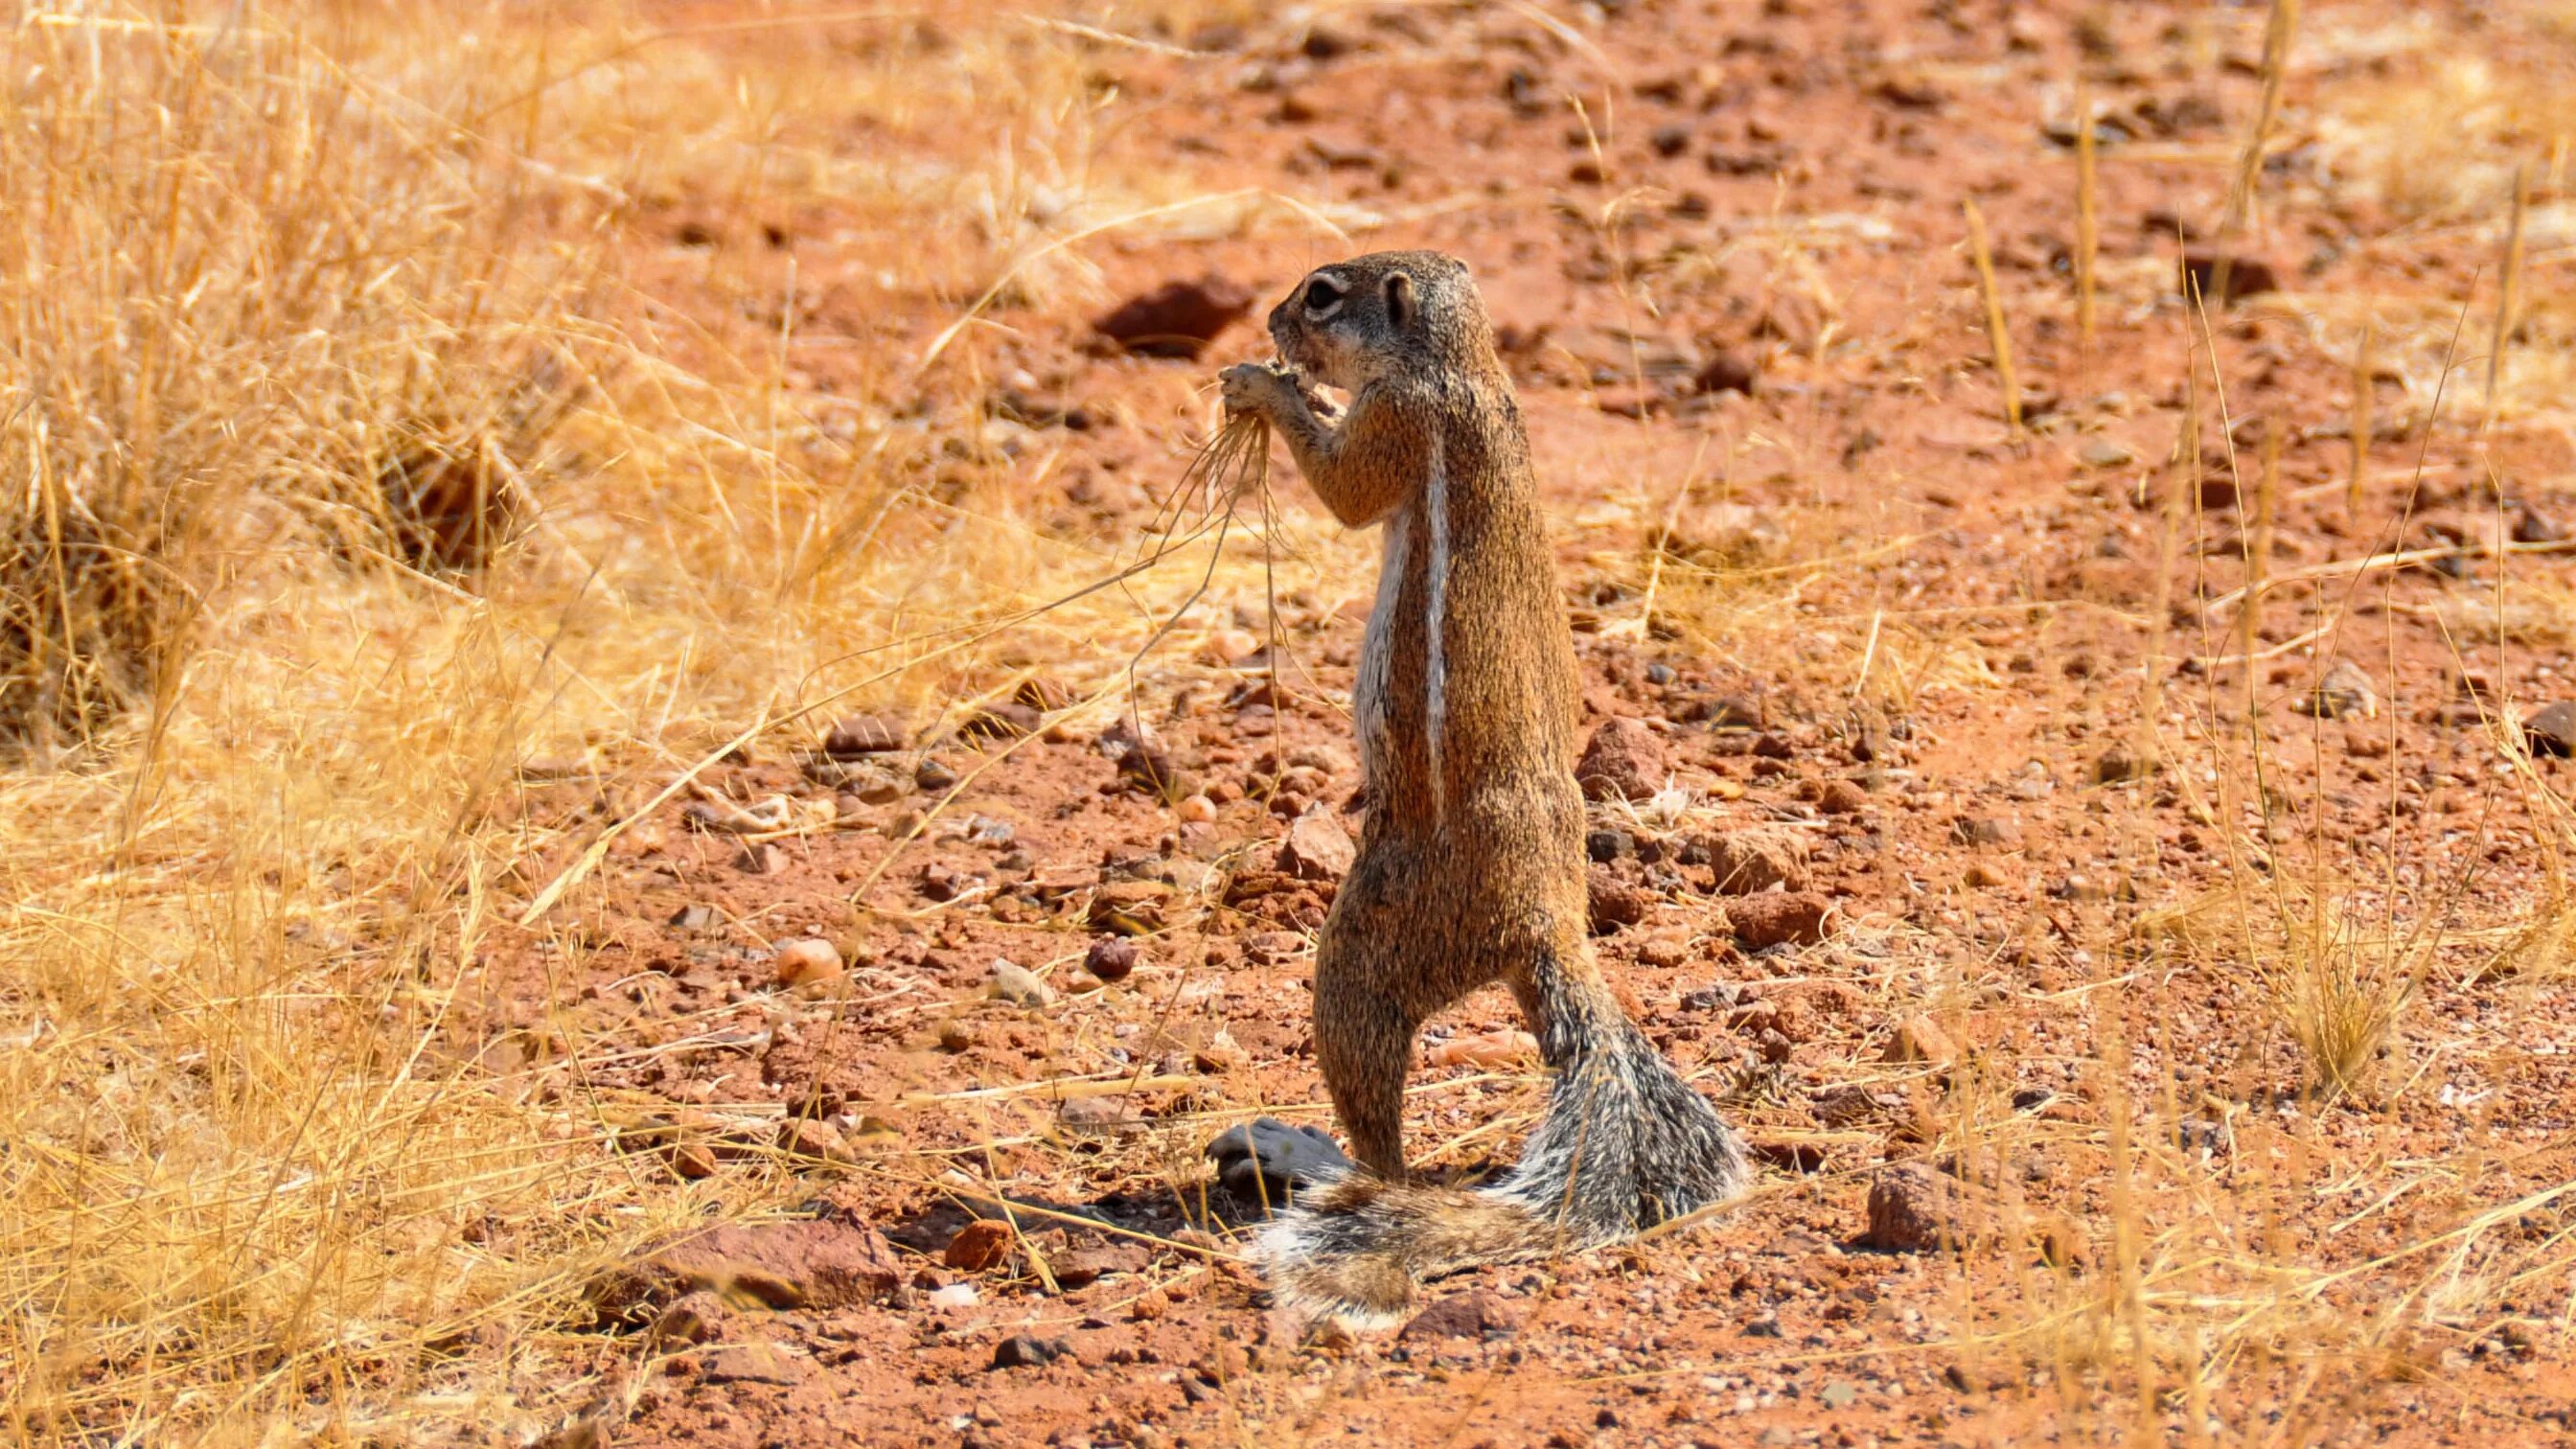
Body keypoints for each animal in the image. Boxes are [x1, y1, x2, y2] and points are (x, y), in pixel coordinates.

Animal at [1205, 247, 1751, 1320]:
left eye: (1322, 295)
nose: (1273, 318)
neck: (1463, 363)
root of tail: (1547, 920)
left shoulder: (1396, 423)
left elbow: (1343, 488)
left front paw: (1263, 384)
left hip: (1368, 952)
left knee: (1383, 1137)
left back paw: (1315, 1159)